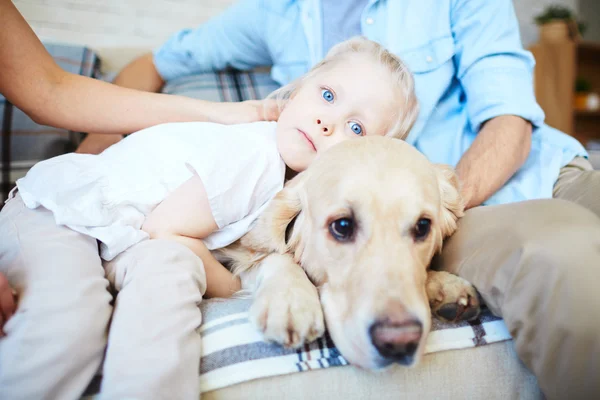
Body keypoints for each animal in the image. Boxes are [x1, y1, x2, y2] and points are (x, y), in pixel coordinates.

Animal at [216, 137, 478, 368]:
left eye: (423, 226)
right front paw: (289, 299)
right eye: (342, 226)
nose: (399, 342)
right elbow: (275, 255)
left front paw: (445, 284)